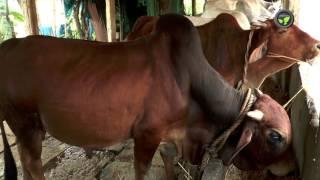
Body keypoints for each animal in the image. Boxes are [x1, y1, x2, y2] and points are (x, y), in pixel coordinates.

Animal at [0, 14, 290, 180]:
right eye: (276, 136)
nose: (286, 170)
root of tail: (8, 45)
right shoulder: (147, 135)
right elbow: (143, 171)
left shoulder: (169, 138)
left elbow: (170, 162)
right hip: (24, 123)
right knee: (32, 164)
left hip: (31, 128)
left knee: (26, 163)